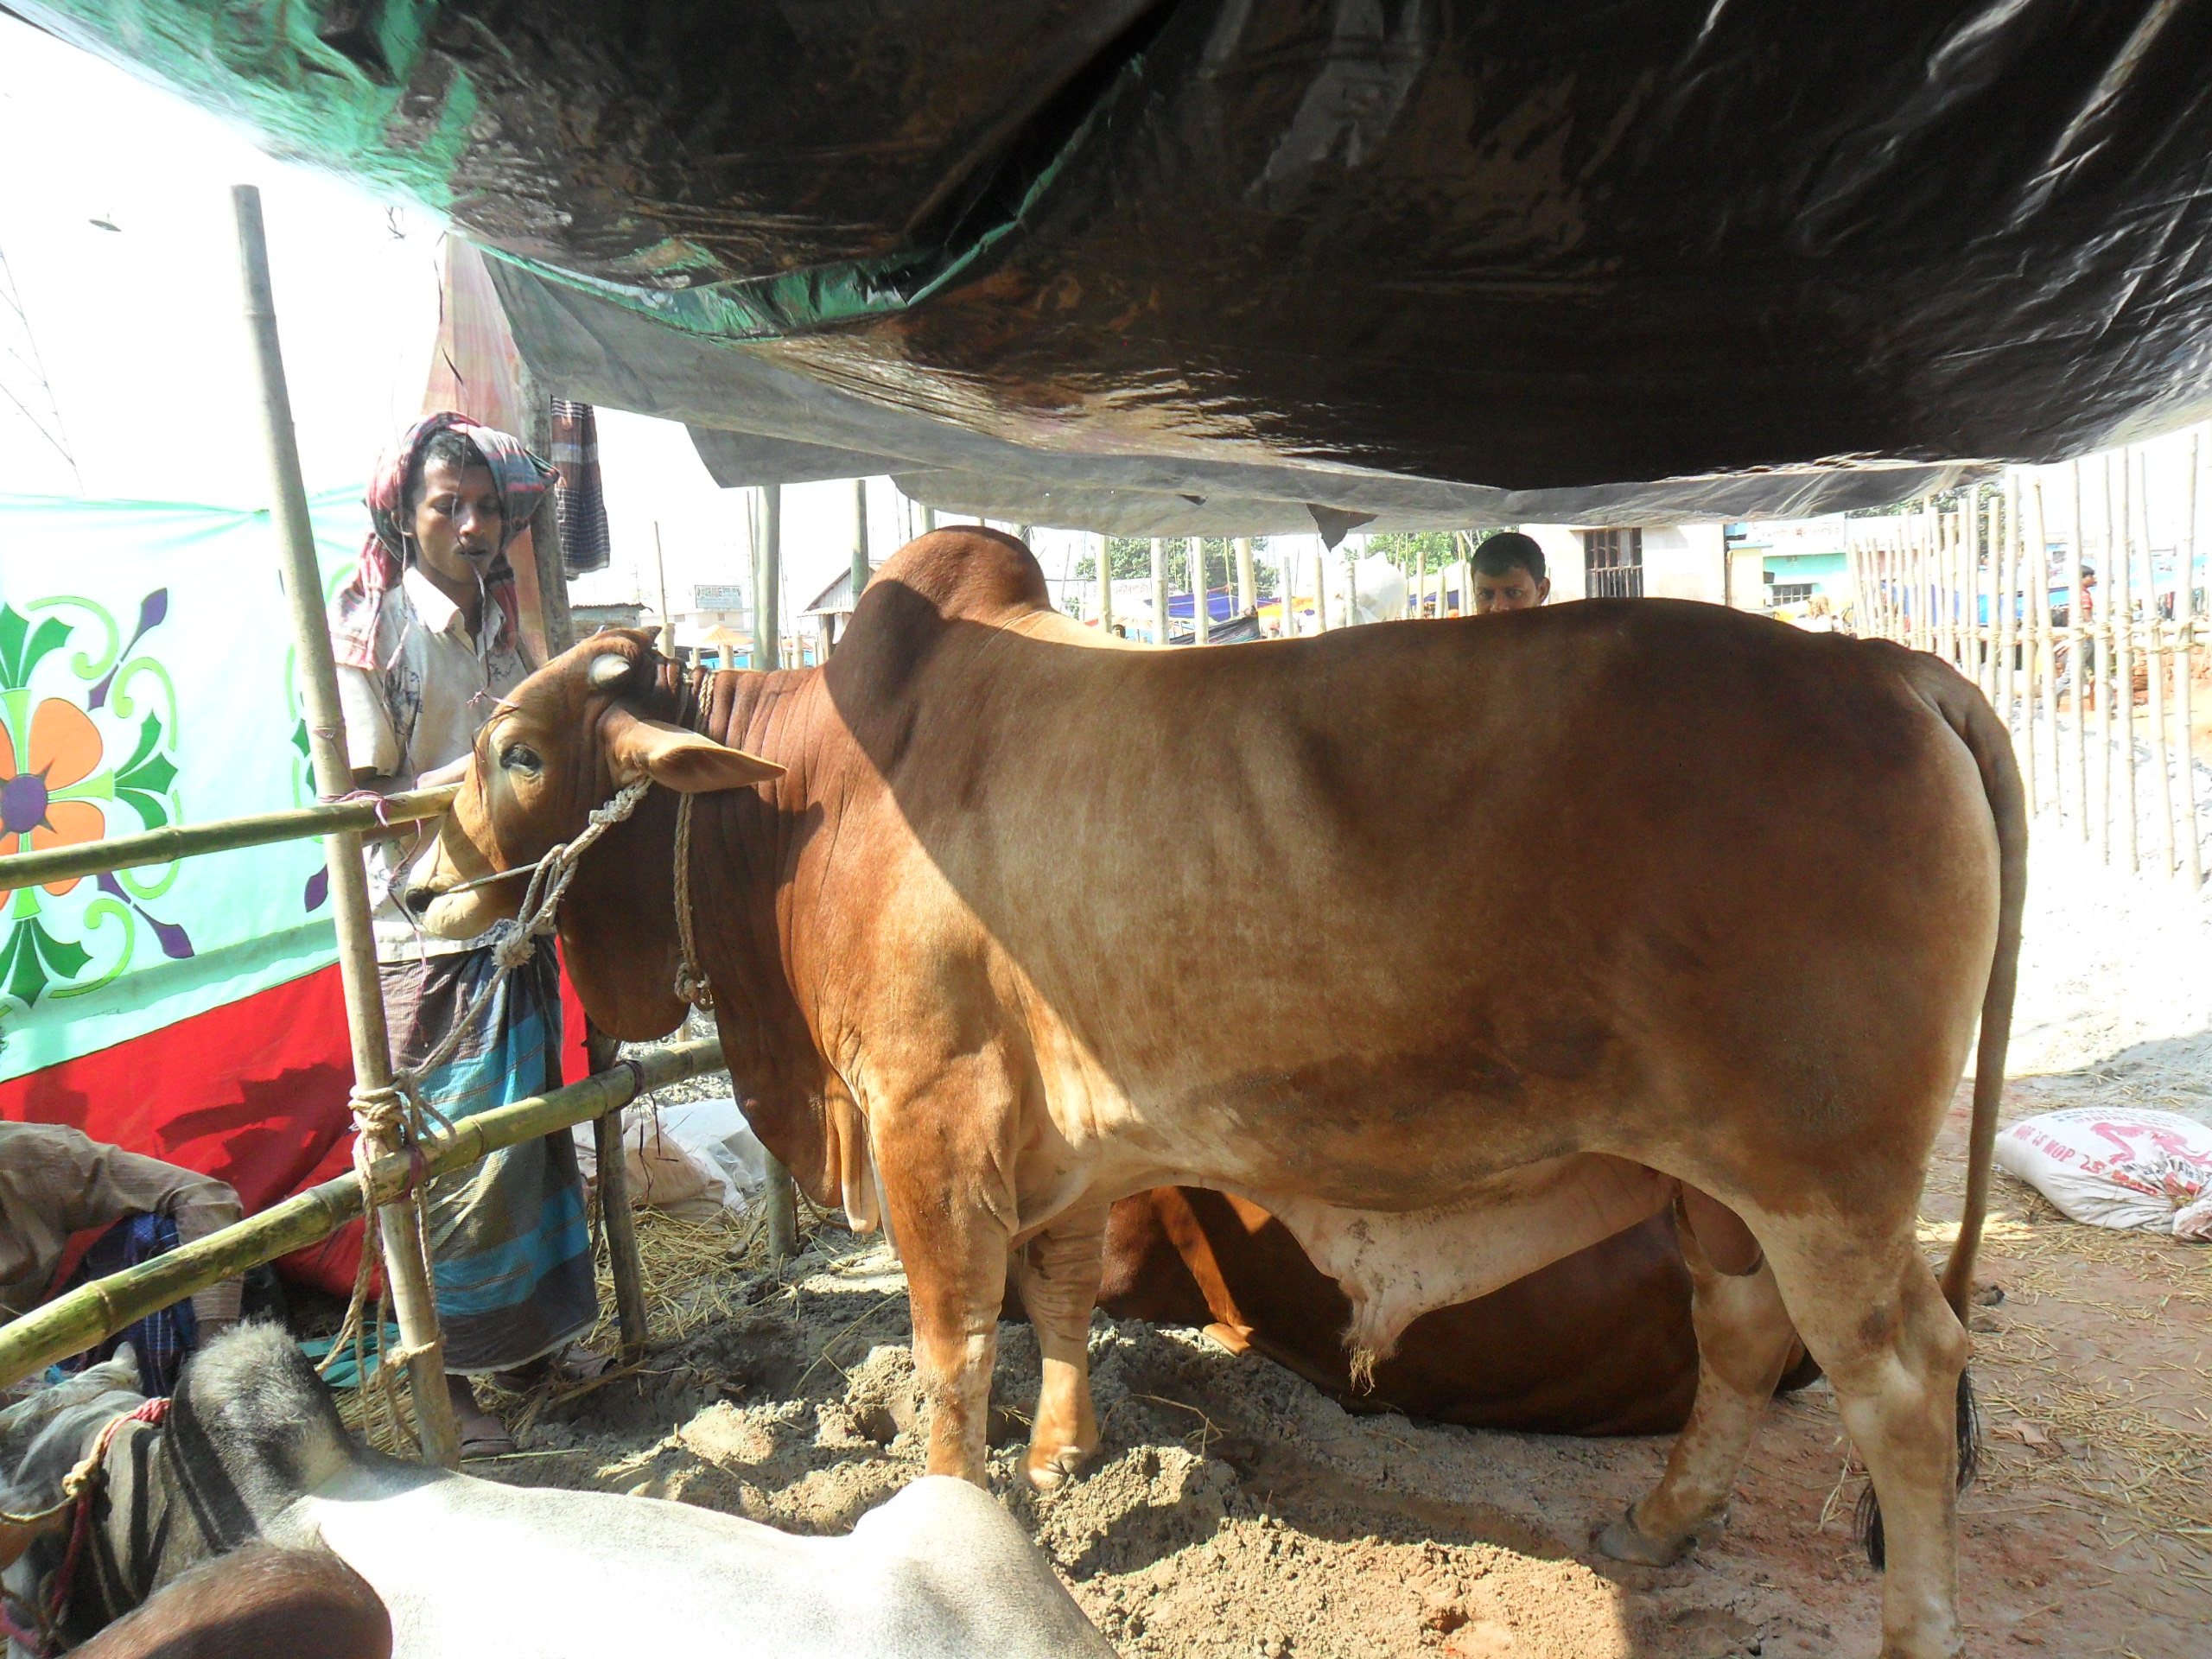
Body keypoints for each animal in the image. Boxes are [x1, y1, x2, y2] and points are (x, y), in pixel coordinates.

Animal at [411, 532, 2025, 1659]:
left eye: (518, 748)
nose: (418, 886)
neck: (807, 802)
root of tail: (1891, 668)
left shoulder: (929, 1120)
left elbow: (950, 1351)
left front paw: (965, 1504)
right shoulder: (1064, 1141)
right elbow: (1059, 1294)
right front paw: (1065, 1451)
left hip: (1826, 1184)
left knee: (1902, 1385)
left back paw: (1913, 1624)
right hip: (1716, 1185)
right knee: (1741, 1337)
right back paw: (1664, 1520)